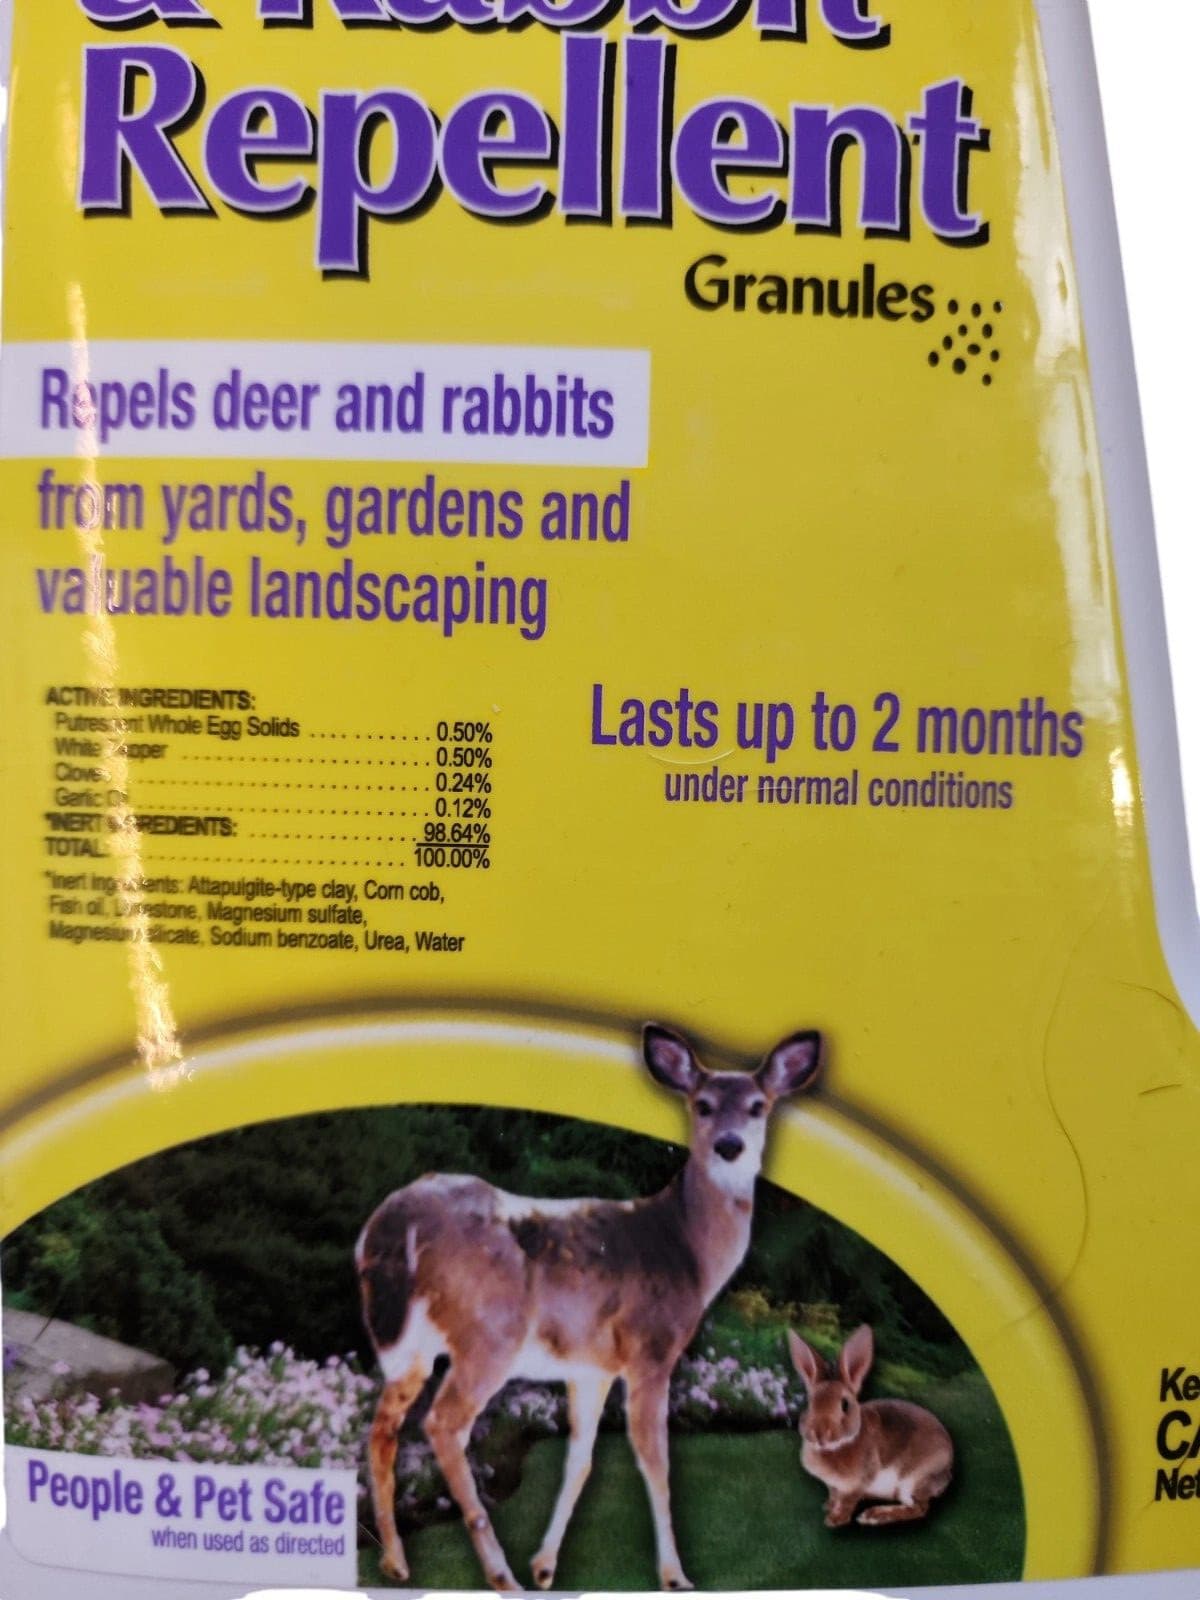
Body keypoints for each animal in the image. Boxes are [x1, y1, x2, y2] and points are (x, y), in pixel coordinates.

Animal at [355, 1023, 822, 1593]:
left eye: (758, 1106)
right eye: (704, 1104)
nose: (729, 1146)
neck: (687, 1251)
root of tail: (395, 1220)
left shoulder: (591, 1366)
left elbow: (580, 1460)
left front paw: (545, 1567)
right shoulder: (651, 1349)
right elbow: (656, 1460)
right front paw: (675, 1576)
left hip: (407, 1342)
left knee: (382, 1428)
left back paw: (397, 1562)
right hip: (490, 1332)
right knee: (444, 1424)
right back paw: (498, 1573)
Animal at [786, 1323, 954, 1528]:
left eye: (845, 1405)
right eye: (809, 1404)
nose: (820, 1434)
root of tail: (948, 1471)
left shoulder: (856, 1484)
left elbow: (848, 1502)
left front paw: (835, 1520)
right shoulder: (833, 1485)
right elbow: (834, 1496)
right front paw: (828, 1506)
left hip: (913, 1481)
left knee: (919, 1509)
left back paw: (873, 1516)